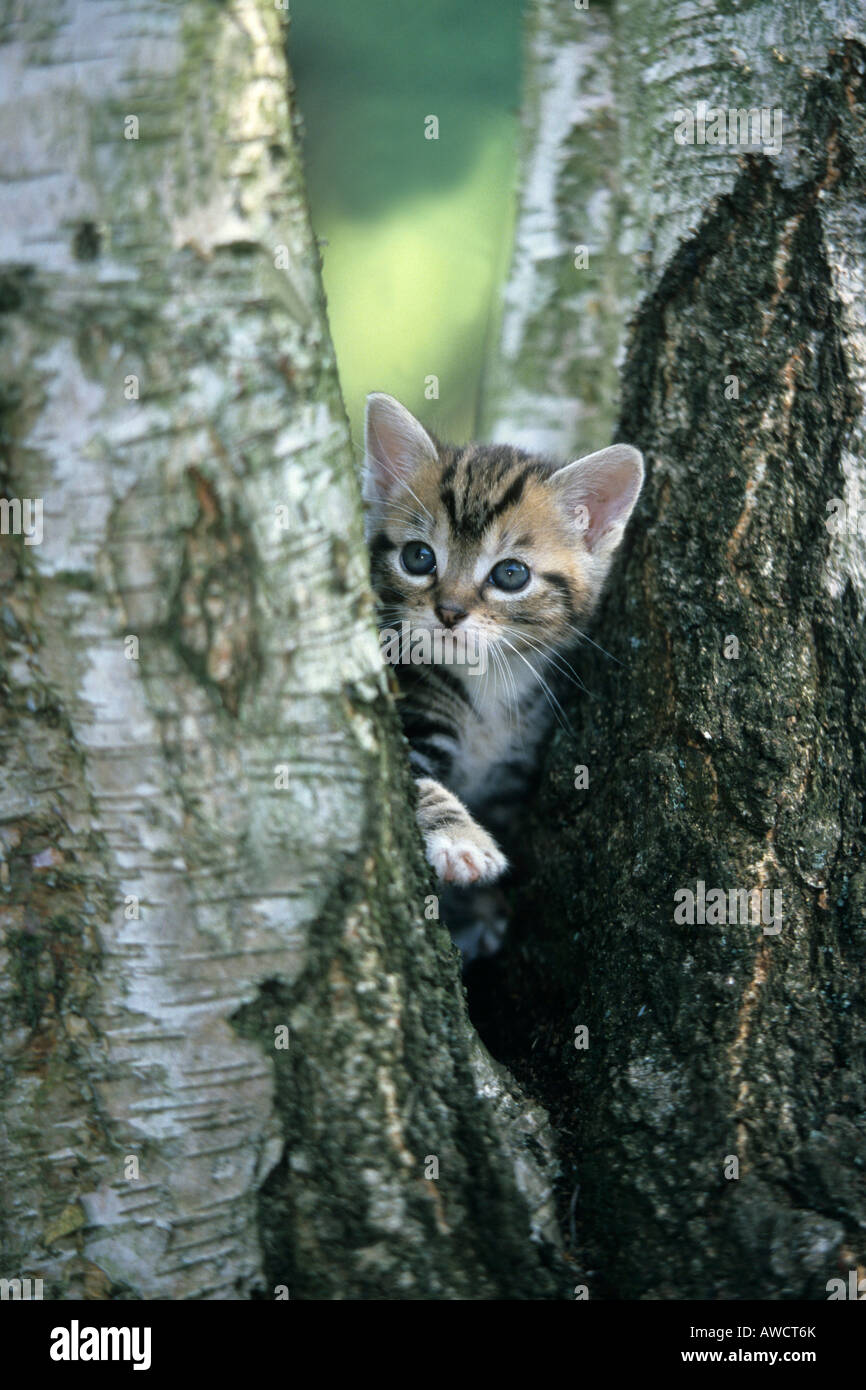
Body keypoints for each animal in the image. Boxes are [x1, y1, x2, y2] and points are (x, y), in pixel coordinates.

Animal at [361, 386, 644, 961]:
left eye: (510, 574)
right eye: (418, 557)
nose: (448, 612)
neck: (487, 685)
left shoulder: (513, 774)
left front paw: (481, 909)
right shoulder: (408, 719)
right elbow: (418, 782)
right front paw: (463, 842)